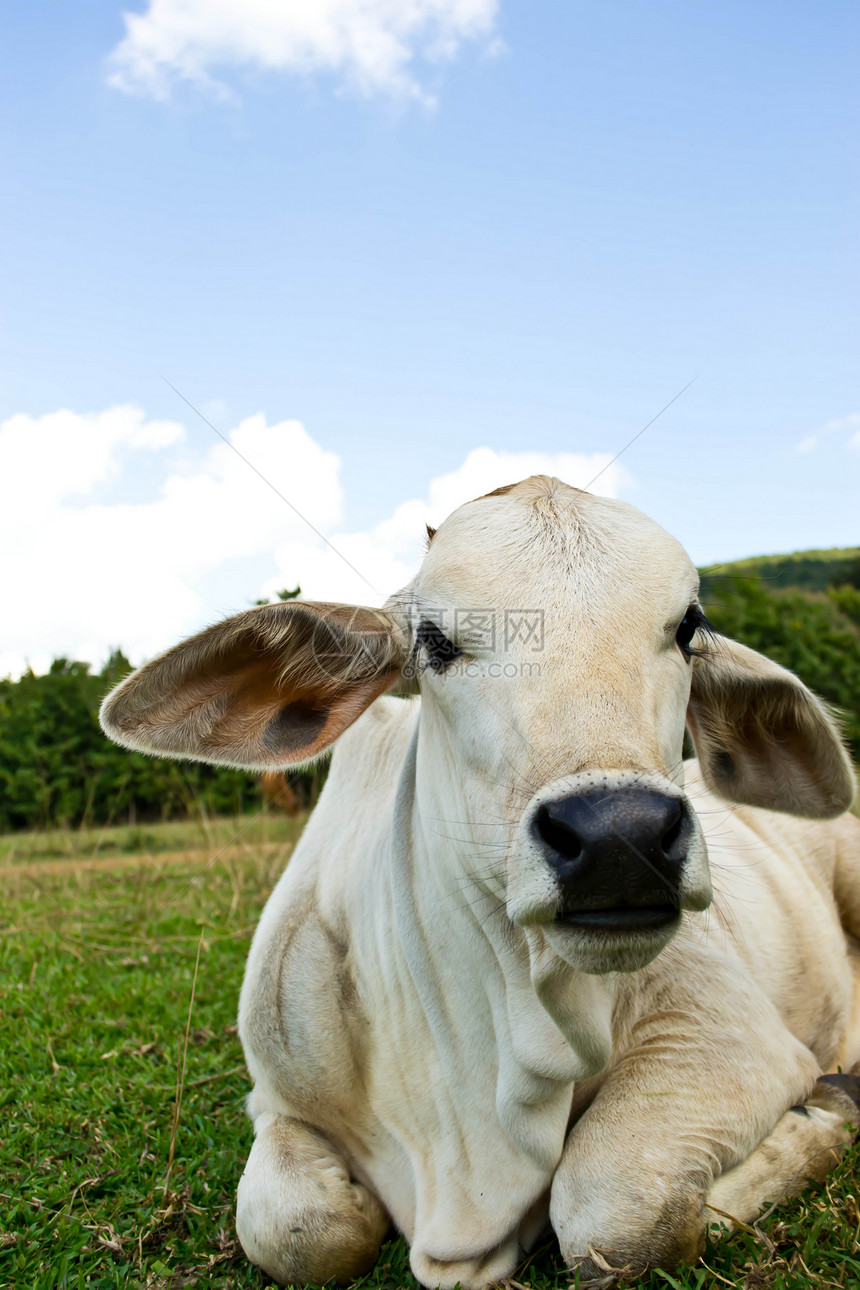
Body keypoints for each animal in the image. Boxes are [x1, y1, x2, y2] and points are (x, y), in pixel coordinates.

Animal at [102, 479, 860, 1284]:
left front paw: (814, 1121)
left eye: (688, 627)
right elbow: (297, 1228)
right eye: (436, 640)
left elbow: (614, 1212)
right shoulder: (276, 1099)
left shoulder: (732, 1038)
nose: (619, 838)